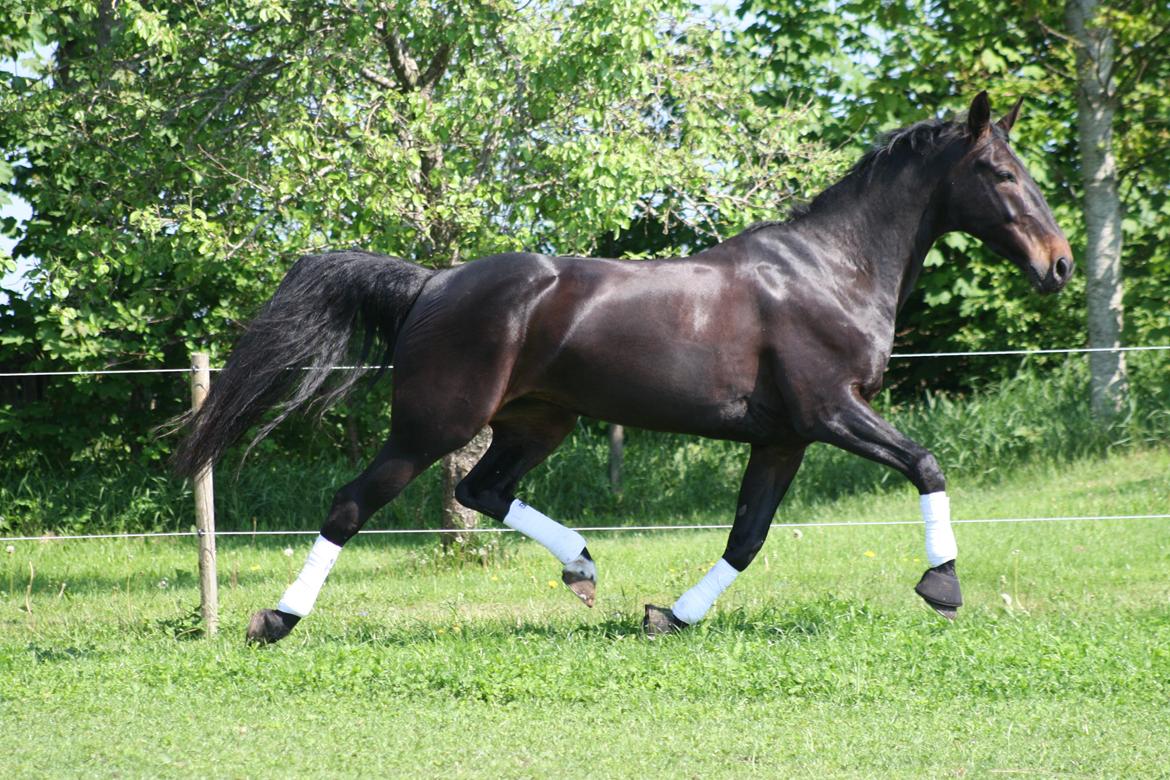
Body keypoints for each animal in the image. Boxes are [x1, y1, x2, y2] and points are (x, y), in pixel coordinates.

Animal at [169, 91, 1071, 645]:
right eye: (999, 172)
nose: (1058, 266)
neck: (830, 270)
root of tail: (431, 283)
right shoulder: (830, 412)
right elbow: (927, 463)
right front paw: (943, 586)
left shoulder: (782, 439)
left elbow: (747, 537)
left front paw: (669, 616)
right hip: (434, 424)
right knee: (353, 504)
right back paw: (276, 620)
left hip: (538, 421)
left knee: (483, 491)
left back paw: (581, 566)